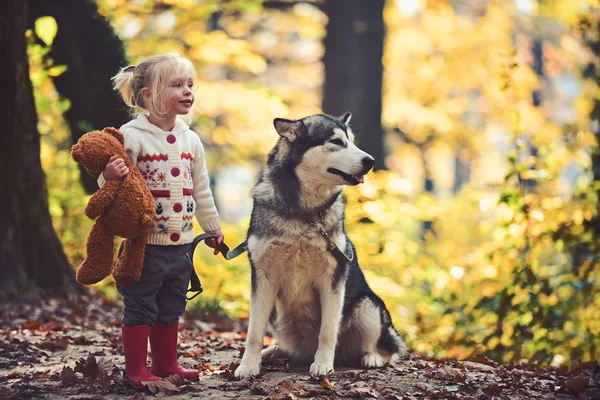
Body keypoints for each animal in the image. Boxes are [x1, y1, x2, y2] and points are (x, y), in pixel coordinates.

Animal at [233, 112, 404, 378]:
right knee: (288, 348)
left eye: (352, 141)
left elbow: (327, 331)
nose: (370, 161)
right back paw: (272, 351)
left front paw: (323, 364)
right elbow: (253, 333)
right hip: (279, 318)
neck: (304, 215)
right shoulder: (262, 278)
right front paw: (248, 365)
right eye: (336, 142)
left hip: (367, 306)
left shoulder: (332, 279)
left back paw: (372, 357)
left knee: (387, 349)